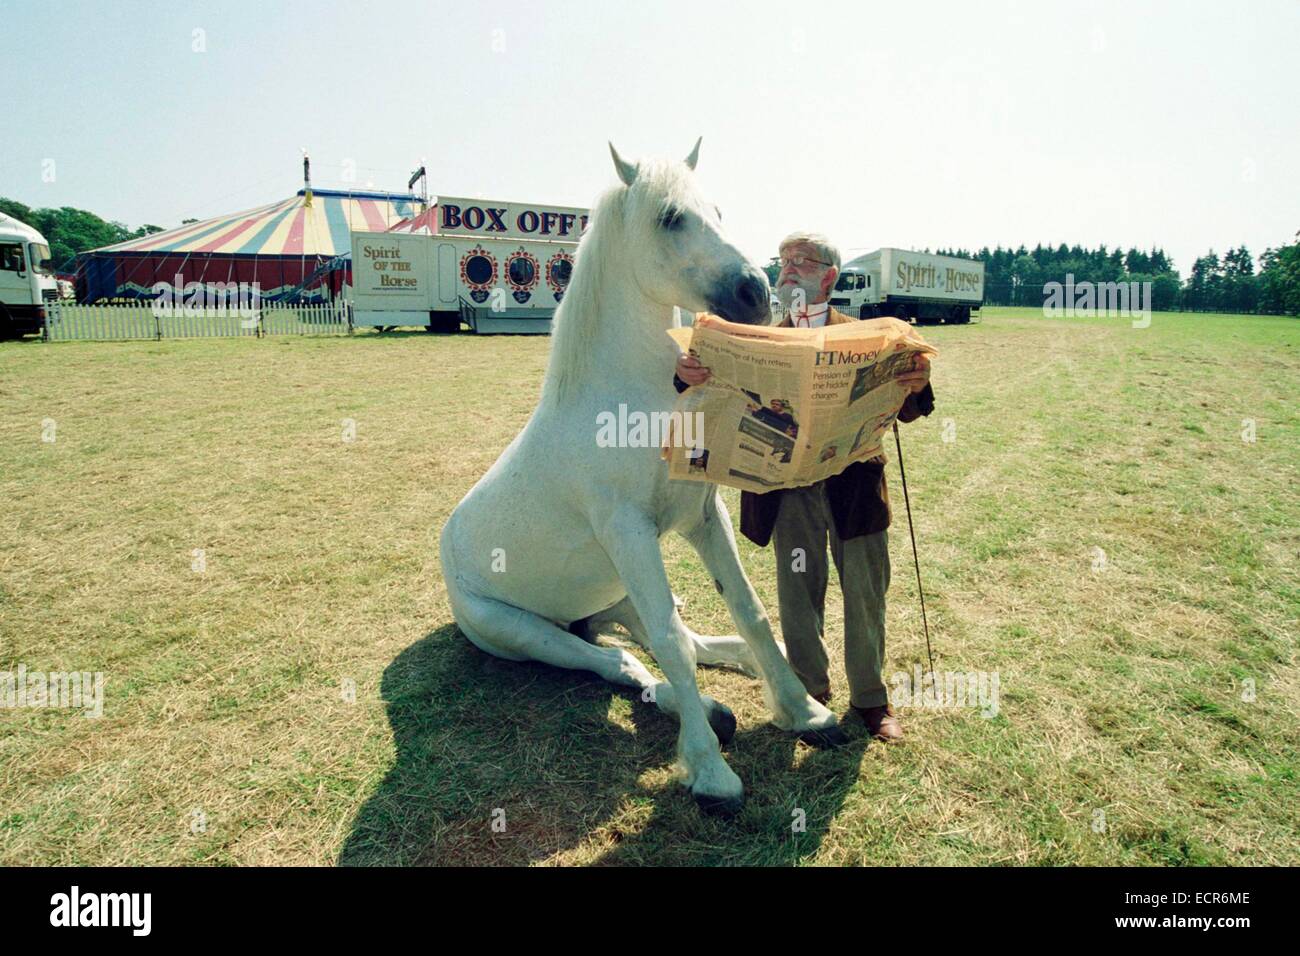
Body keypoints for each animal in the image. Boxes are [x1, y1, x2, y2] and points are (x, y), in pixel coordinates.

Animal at [439, 140, 846, 816]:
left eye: (717, 209)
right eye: (670, 218)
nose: (755, 292)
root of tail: (449, 544)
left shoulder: (704, 517)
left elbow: (749, 610)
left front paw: (805, 712)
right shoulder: (628, 532)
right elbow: (670, 646)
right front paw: (712, 774)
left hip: (618, 595)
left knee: (676, 642)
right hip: (522, 631)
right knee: (620, 662)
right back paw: (707, 716)